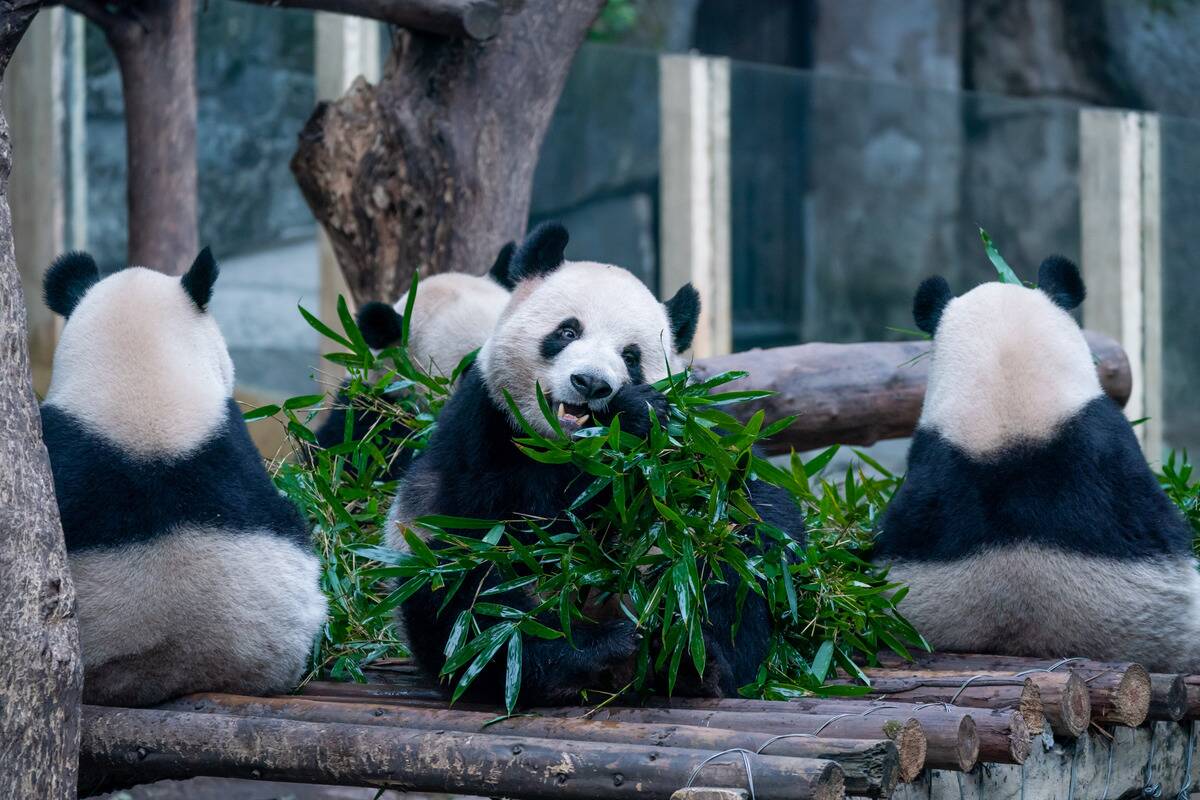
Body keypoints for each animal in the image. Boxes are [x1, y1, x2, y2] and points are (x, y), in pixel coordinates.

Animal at [387, 222, 805, 705]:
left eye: (631, 356)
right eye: (568, 332)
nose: (591, 383)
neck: (571, 445)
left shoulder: (700, 431)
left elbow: (753, 501)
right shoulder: (483, 427)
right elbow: (523, 516)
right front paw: (629, 418)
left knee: (734, 567)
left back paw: (692, 658)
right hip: (434, 567)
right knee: (472, 603)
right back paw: (587, 655)